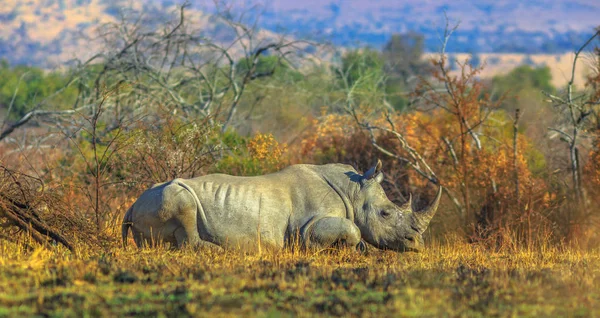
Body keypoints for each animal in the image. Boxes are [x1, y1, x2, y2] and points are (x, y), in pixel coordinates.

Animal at [120, 160, 440, 252]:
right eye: (386, 214)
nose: (417, 244)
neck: (353, 191)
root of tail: (131, 205)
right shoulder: (307, 226)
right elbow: (352, 229)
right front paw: (352, 248)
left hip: (149, 201)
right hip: (166, 197)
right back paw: (220, 251)